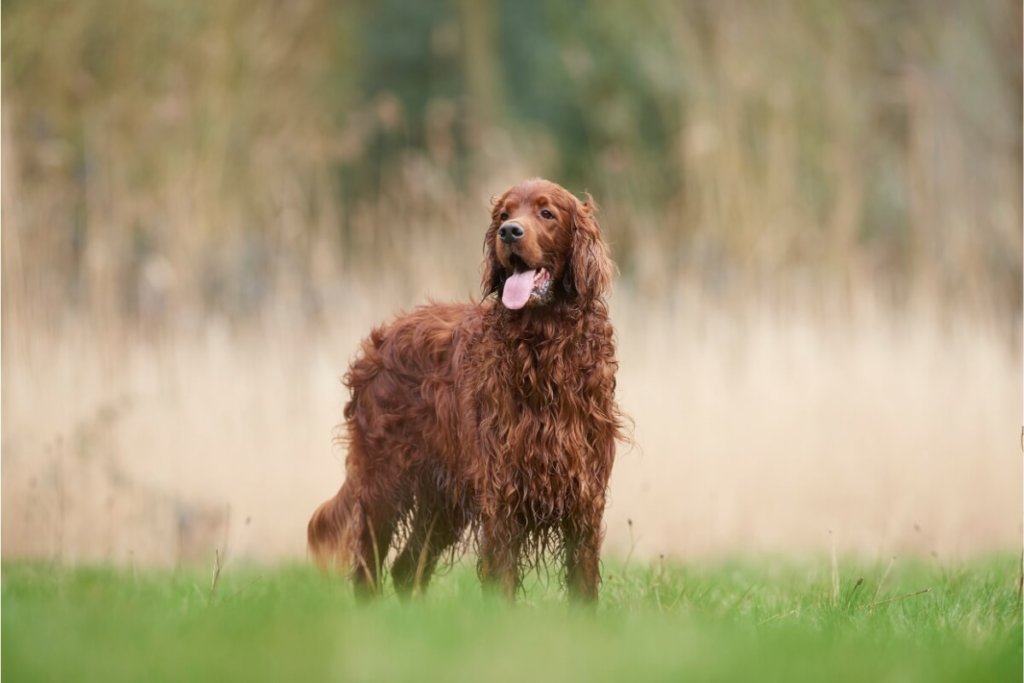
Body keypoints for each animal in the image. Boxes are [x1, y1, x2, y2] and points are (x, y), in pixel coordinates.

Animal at [305, 179, 622, 602]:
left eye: (546, 213)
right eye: (504, 214)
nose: (510, 232)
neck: (543, 350)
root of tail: (382, 338)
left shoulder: (585, 496)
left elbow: (583, 587)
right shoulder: (502, 494)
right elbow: (502, 579)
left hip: (443, 500)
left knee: (406, 569)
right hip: (383, 483)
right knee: (368, 570)